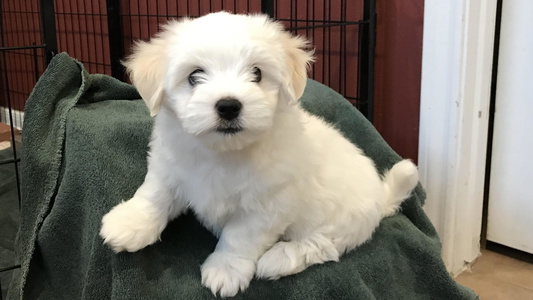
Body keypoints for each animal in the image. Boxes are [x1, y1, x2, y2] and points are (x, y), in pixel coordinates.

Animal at [97, 11, 418, 298]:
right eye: (194, 76)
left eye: (257, 73)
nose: (228, 105)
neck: (223, 152)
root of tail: (381, 198)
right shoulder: (169, 166)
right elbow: (155, 194)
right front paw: (129, 223)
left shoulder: (267, 206)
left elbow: (240, 237)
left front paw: (225, 270)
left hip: (344, 221)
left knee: (322, 245)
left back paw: (279, 259)